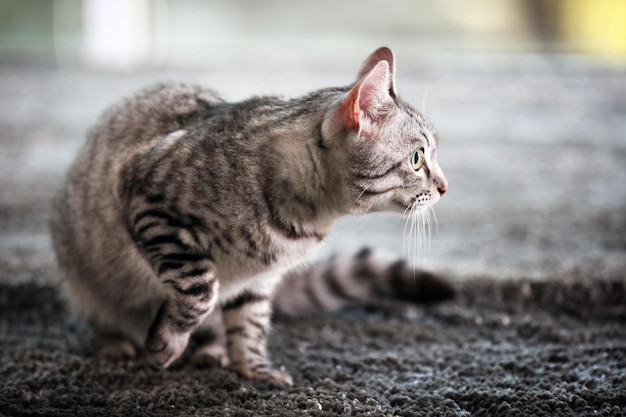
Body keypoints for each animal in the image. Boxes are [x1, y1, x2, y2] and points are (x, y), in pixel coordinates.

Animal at [50, 46, 448, 384]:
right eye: (417, 158)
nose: (445, 187)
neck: (306, 222)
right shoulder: (148, 197)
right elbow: (199, 288)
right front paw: (167, 343)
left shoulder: (259, 279)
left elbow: (249, 324)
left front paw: (253, 369)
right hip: (83, 280)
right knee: (106, 319)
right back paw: (115, 345)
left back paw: (213, 351)